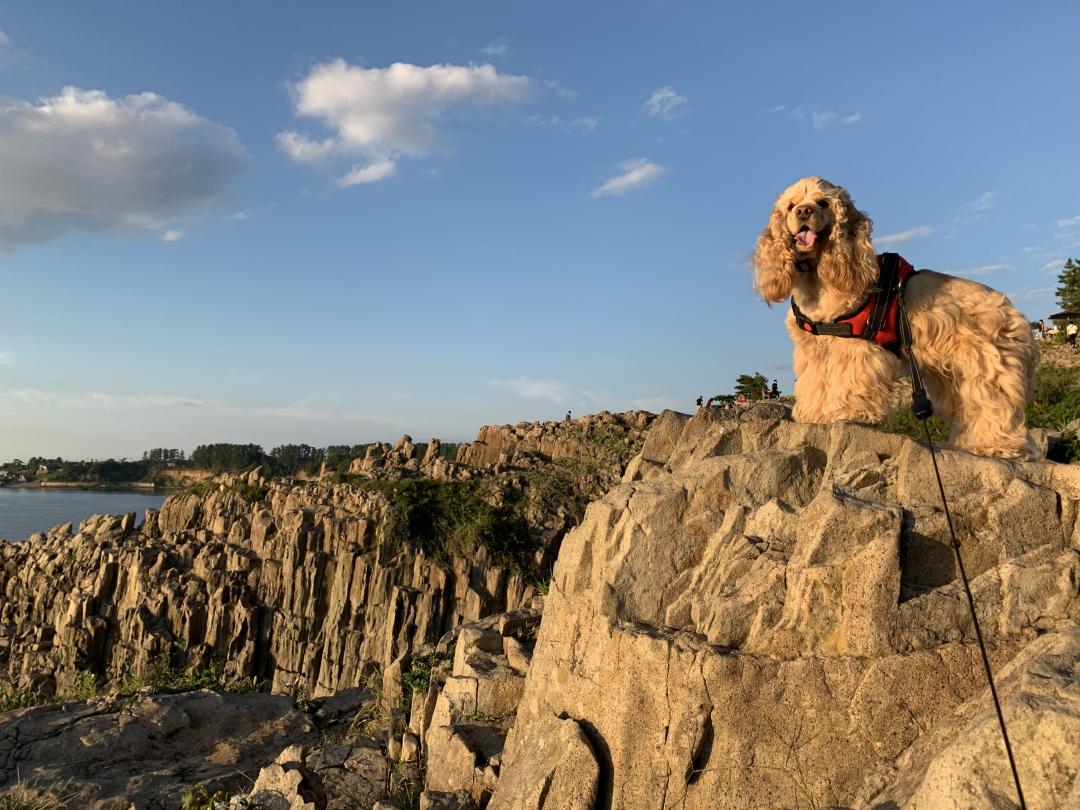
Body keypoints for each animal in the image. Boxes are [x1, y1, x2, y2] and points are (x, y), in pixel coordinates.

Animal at [751, 177, 1036, 460]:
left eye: (822, 203)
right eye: (791, 206)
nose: (803, 211)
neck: (817, 278)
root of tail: (1015, 313)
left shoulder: (855, 347)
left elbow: (848, 382)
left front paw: (848, 411)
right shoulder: (813, 350)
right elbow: (815, 384)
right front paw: (814, 413)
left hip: (988, 368)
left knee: (997, 406)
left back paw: (996, 446)